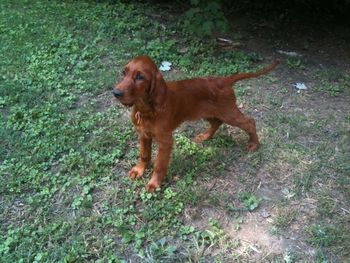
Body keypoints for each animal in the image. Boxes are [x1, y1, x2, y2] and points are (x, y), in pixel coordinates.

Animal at [113, 55, 280, 192]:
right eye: (124, 72)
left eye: (140, 77)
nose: (116, 93)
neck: (146, 109)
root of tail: (223, 80)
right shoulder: (143, 134)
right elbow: (144, 155)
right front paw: (139, 170)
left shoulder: (165, 140)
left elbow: (159, 165)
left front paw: (154, 184)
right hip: (208, 112)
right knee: (216, 122)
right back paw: (205, 136)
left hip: (228, 113)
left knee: (249, 122)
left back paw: (254, 144)